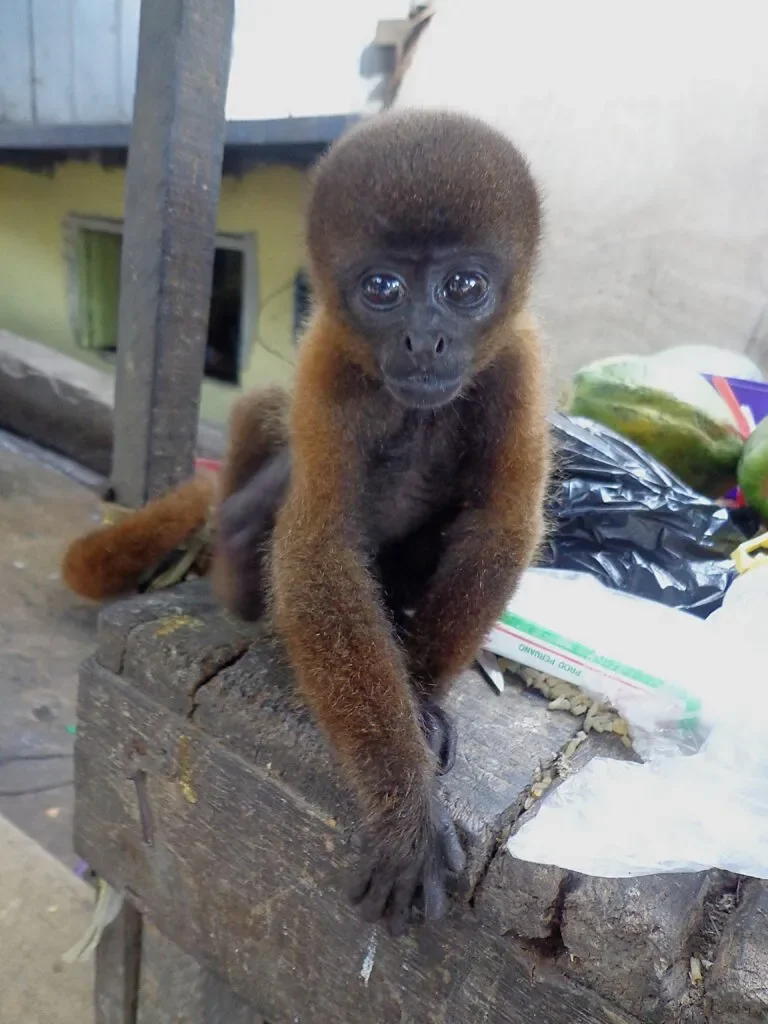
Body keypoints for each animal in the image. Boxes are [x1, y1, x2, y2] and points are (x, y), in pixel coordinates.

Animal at [61, 108, 551, 937]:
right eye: (384, 288)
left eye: (464, 286)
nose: (425, 338)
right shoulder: (326, 362)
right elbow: (319, 553)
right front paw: (404, 809)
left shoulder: (519, 360)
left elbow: (499, 525)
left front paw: (422, 699)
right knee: (261, 430)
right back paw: (246, 522)